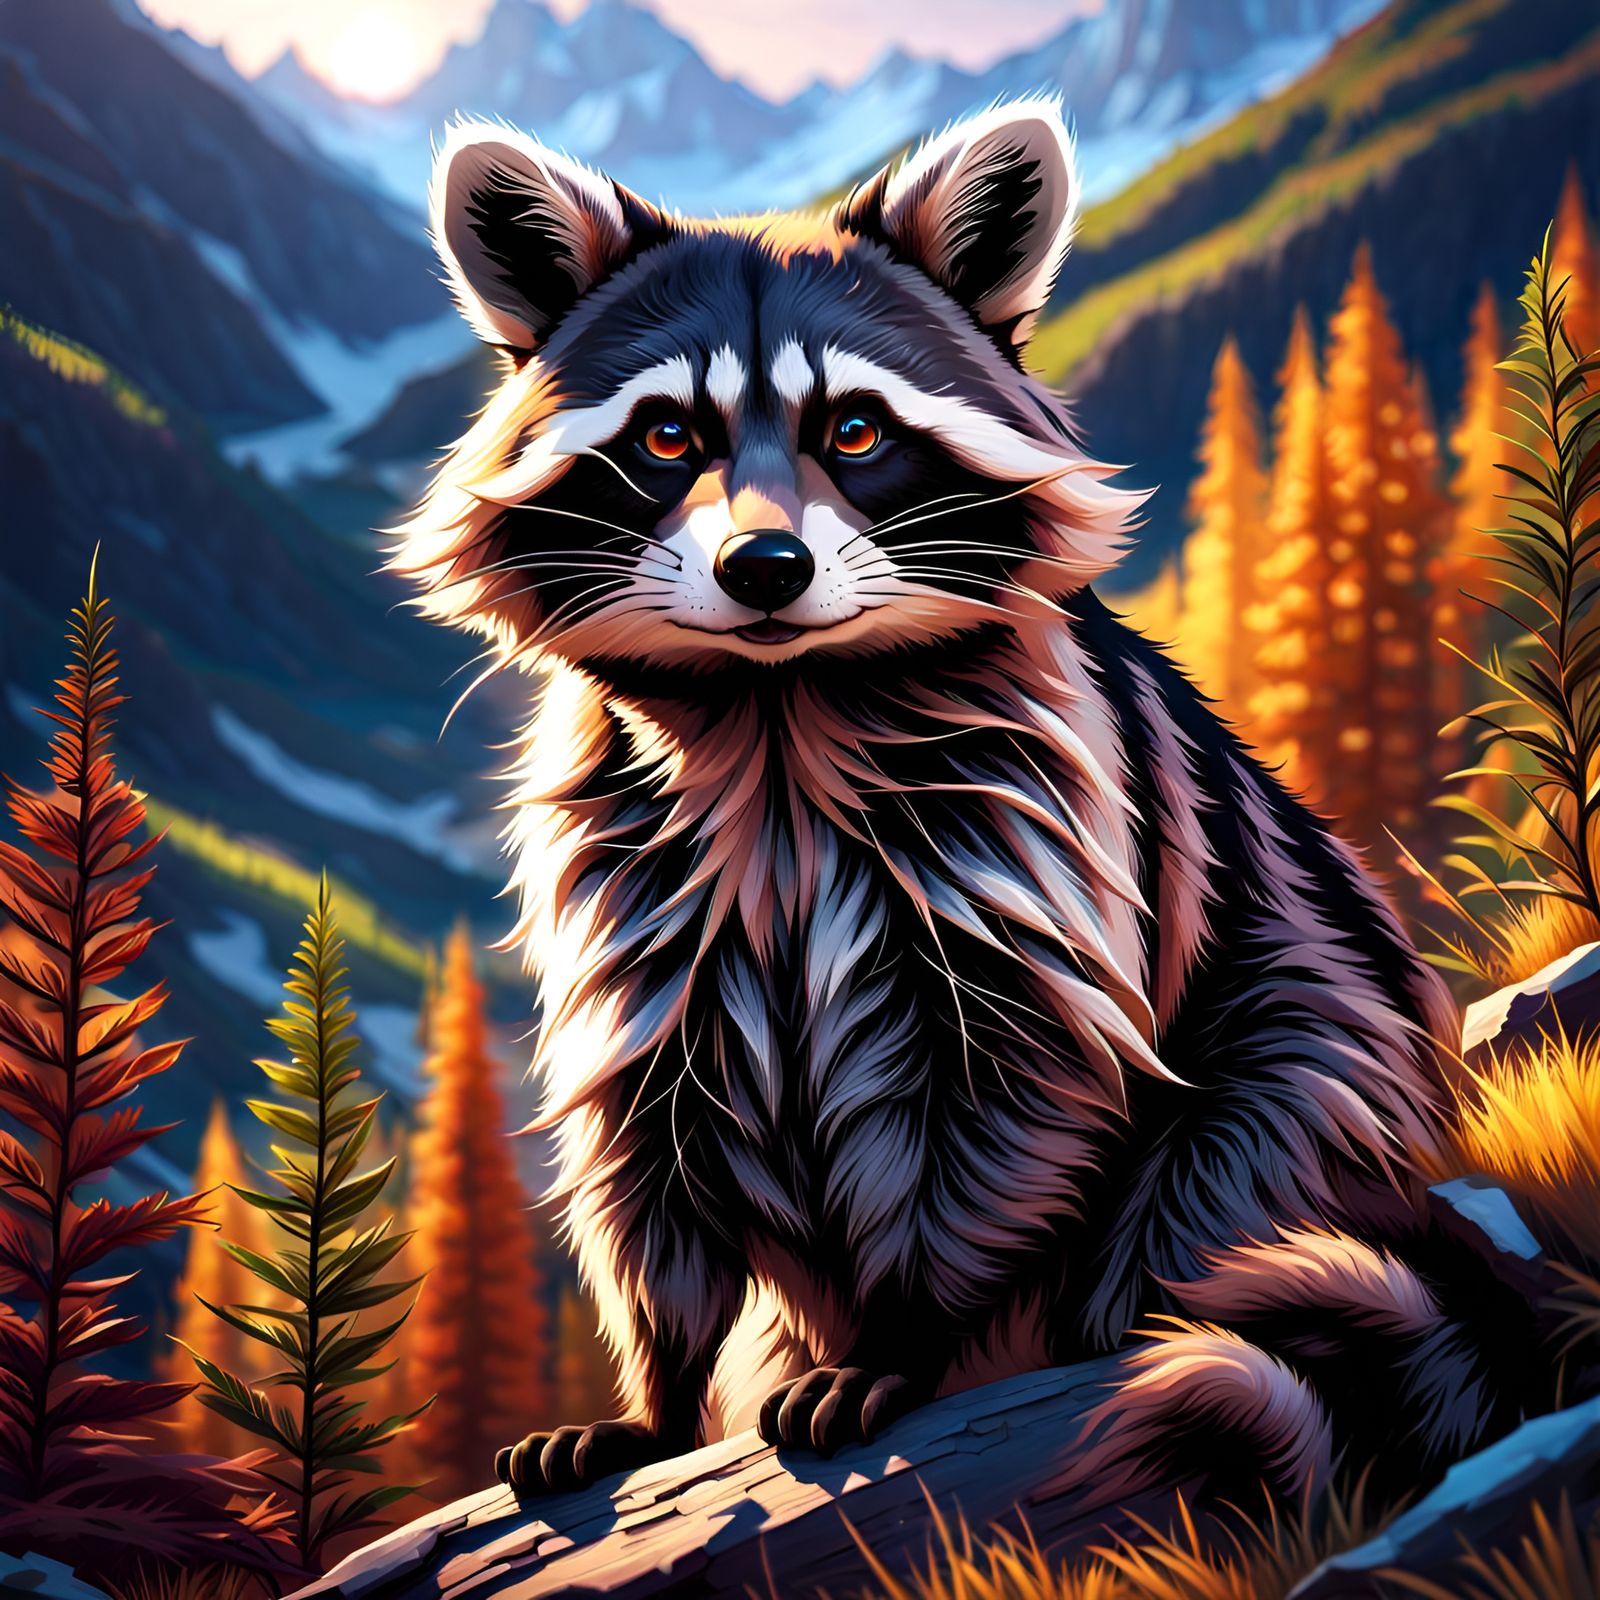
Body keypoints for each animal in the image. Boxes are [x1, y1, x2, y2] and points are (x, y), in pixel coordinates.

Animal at [391, 101, 1536, 1514]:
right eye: (666, 437)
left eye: (854, 431)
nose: (764, 567)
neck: (777, 709)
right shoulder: (634, 891)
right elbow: (649, 1152)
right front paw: (656, 1394)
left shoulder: (1033, 839)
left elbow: (999, 1104)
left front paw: (903, 1342)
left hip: (1302, 1083)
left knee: (1257, 1122)